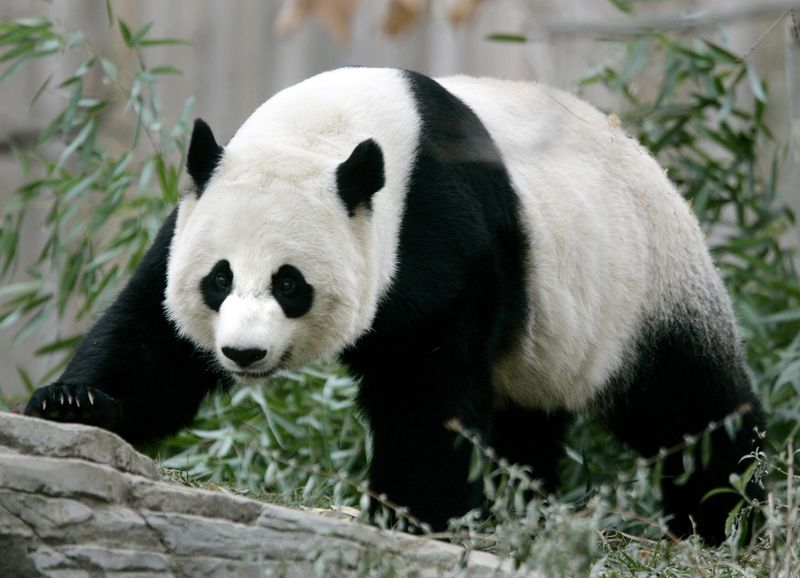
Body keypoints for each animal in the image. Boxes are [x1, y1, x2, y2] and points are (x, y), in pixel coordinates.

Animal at [25, 66, 764, 540]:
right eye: (218, 280)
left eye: (290, 284)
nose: (243, 353)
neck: (329, 130)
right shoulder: (197, 211)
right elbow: (153, 339)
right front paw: (72, 404)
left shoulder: (439, 229)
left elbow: (425, 382)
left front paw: (413, 514)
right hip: (550, 337)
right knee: (526, 422)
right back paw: (517, 509)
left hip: (645, 290)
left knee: (692, 411)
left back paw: (729, 519)